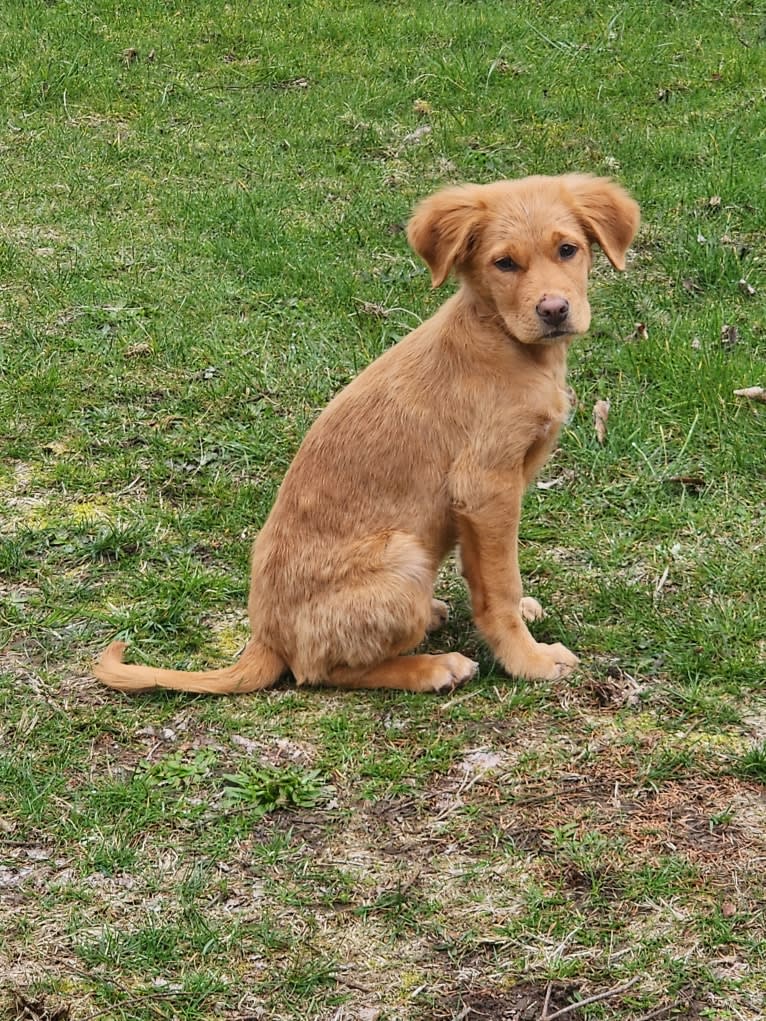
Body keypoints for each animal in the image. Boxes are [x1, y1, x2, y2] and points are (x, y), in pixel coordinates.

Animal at [96, 173, 641, 694]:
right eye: (504, 263)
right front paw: (529, 659)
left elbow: (486, 574)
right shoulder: (485, 486)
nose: (554, 310)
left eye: (568, 249)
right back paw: (434, 667)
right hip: (405, 557)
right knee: (317, 671)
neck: (503, 340)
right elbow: (499, 585)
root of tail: (265, 639)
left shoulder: (490, 497)